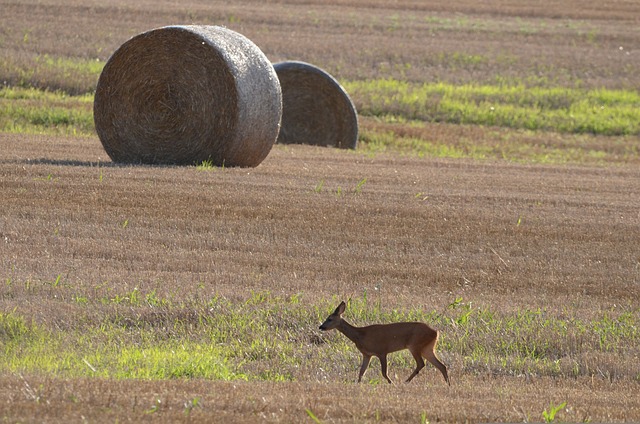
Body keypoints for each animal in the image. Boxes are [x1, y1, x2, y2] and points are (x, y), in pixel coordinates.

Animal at [320, 300, 450, 386]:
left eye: (330, 319)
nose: (321, 327)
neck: (360, 335)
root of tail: (435, 332)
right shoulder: (367, 354)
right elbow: (362, 371)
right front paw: (357, 384)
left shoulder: (381, 351)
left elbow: (383, 372)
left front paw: (391, 383)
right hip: (427, 348)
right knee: (441, 365)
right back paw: (448, 384)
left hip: (415, 345)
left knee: (421, 364)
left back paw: (406, 381)